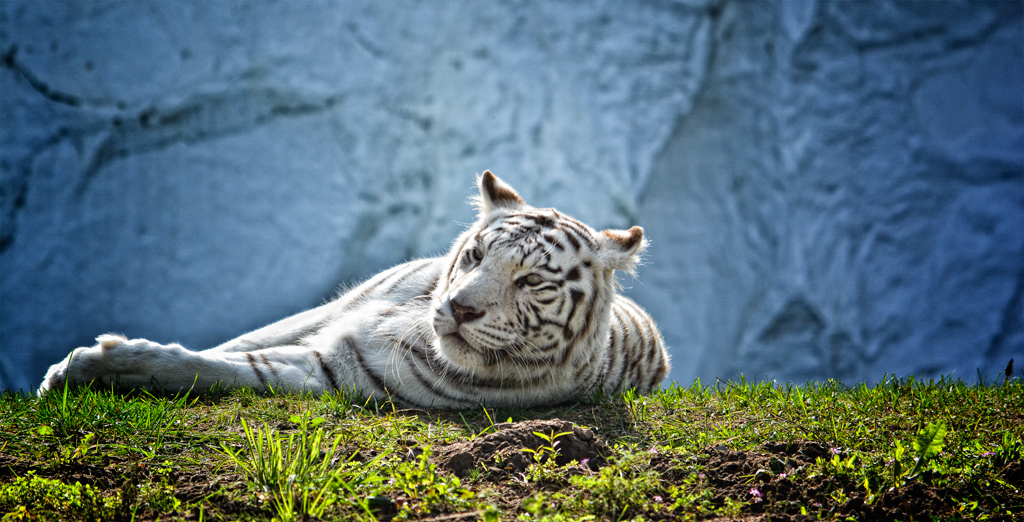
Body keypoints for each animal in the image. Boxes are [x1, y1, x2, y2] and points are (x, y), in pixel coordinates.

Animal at [37, 171, 671, 407]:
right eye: (477, 256)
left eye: (531, 280)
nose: (457, 308)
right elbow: (227, 351)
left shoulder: (335, 369)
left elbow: (215, 368)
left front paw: (89, 366)